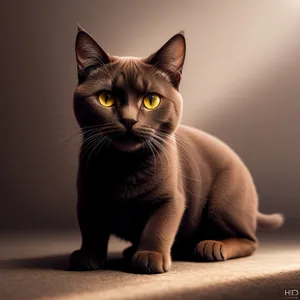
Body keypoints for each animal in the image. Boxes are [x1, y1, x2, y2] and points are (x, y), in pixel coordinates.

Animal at [69, 25, 284, 274]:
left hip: (223, 202)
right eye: (106, 98)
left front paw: (150, 255)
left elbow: (158, 227)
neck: (126, 166)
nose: (129, 120)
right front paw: (88, 256)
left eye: (151, 100)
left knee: (249, 239)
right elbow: (91, 228)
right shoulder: (87, 198)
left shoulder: (171, 199)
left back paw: (213, 246)